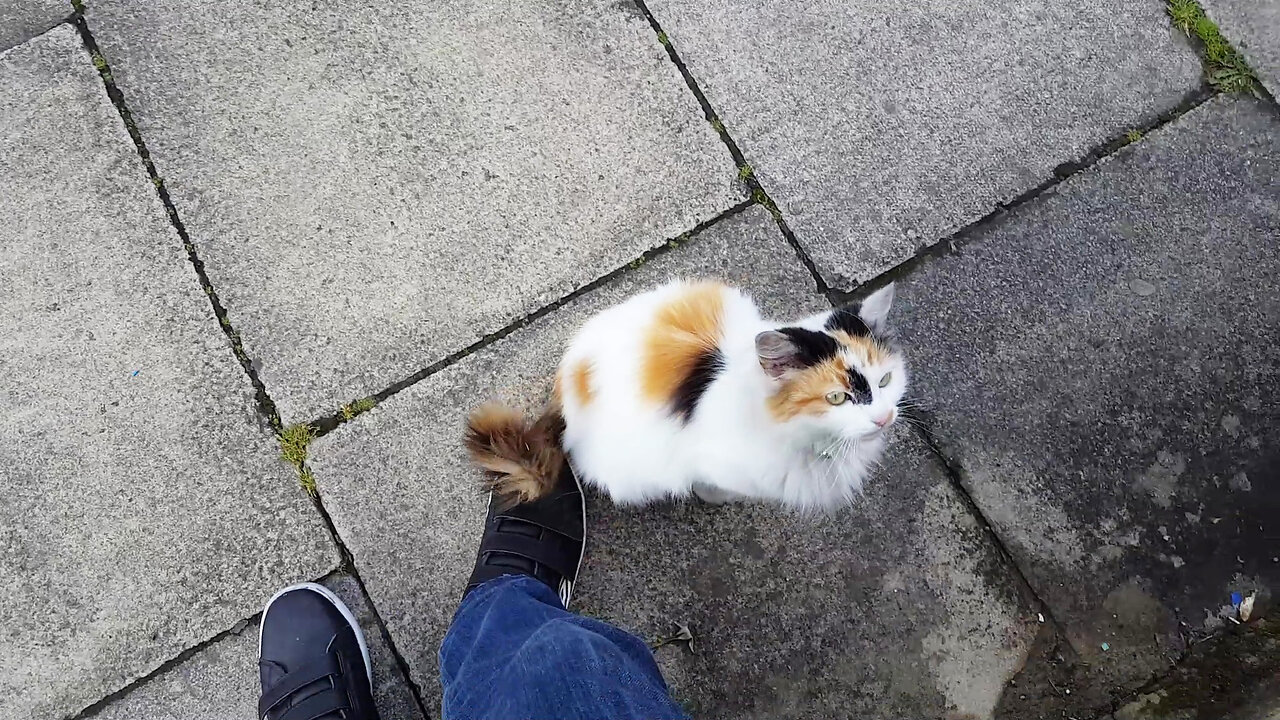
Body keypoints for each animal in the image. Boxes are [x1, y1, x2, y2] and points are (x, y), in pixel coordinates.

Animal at [465, 279, 906, 509]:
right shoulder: (713, 463)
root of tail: (565, 387)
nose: (884, 418)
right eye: (837, 398)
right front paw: (715, 497)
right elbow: (711, 483)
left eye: (885, 381)